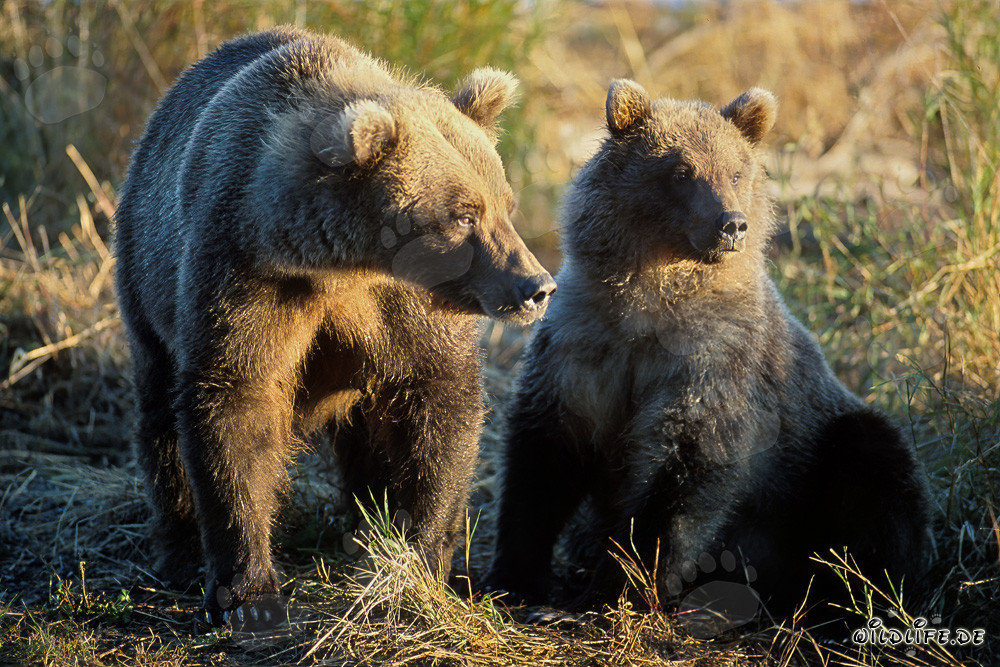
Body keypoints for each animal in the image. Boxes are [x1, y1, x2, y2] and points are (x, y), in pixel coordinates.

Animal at [113, 26, 555, 631]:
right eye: (463, 214)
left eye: (504, 203)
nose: (535, 286)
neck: (343, 266)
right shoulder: (247, 277)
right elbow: (235, 404)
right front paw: (249, 594)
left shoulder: (399, 309)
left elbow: (438, 403)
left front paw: (418, 560)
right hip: (146, 275)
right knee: (160, 414)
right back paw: (179, 552)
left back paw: (364, 529)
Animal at [487, 80, 929, 637]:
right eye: (680, 171)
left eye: (736, 170)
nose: (731, 223)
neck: (650, 303)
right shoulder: (581, 350)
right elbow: (542, 460)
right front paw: (514, 579)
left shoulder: (714, 359)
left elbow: (684, 470)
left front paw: (606, 597)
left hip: (819, 462)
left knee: (875, 474)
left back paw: (843, 601)